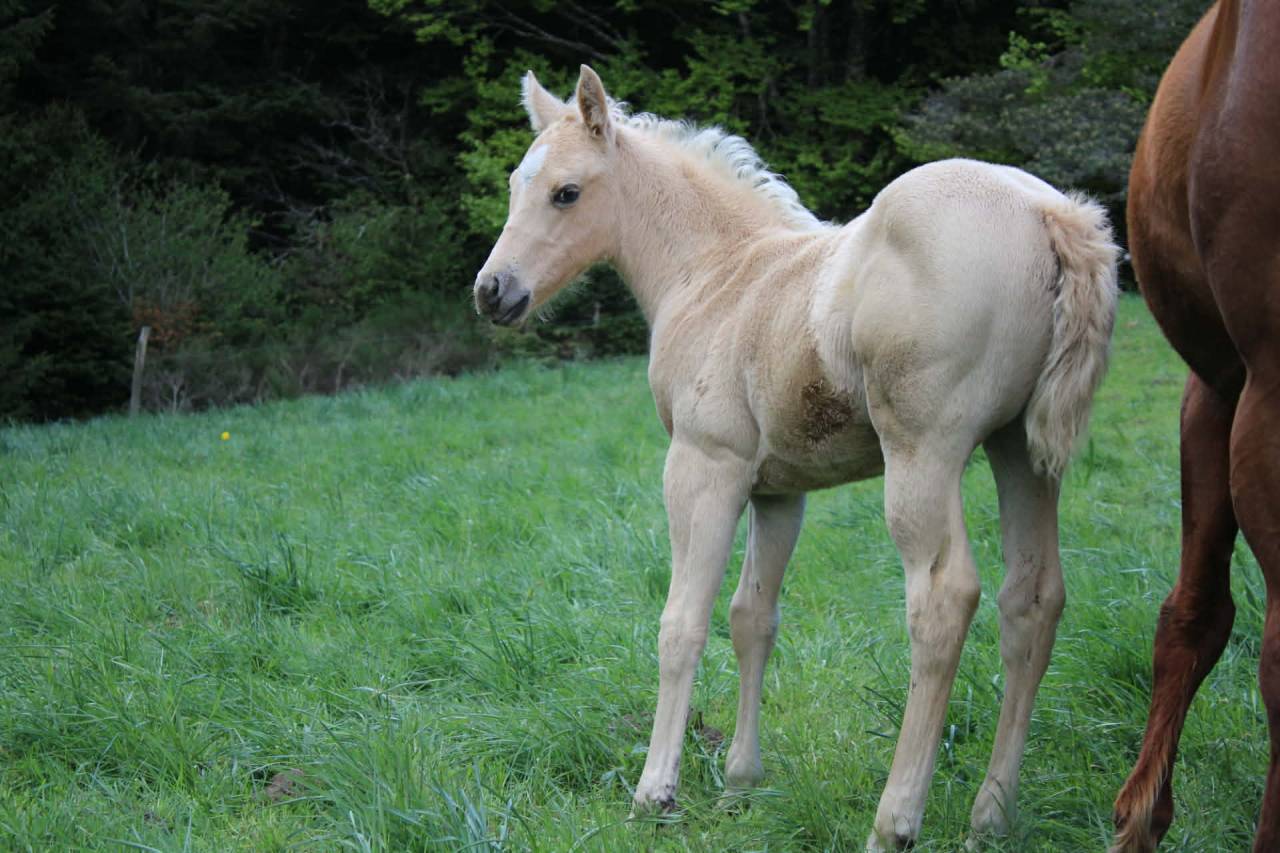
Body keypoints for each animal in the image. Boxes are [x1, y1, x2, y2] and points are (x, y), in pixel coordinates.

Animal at [474, 65, 1118, 850]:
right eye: (517, 183)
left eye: (566, 192)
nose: (493, 291)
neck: (716, 273)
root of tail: (1047, 212)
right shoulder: (778, 490)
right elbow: (753, 617)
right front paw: (740, 784)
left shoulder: (703, 467)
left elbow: (682, 624)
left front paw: (655, 792)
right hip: (1021, 452)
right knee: (1032, 597)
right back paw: (991, 815)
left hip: (924, 453)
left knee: (943, 600)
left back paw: (894, 821)